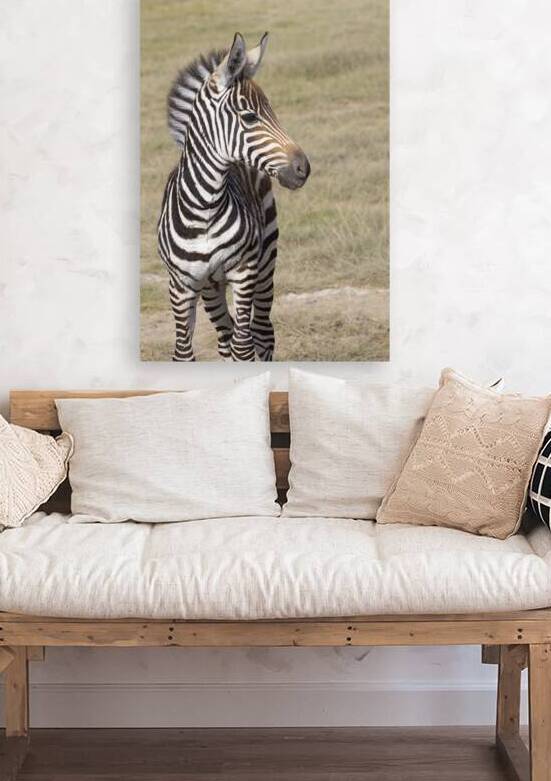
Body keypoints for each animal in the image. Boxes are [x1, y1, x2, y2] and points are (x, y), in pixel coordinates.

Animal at [157, 32, 310, 361]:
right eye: (250, 117)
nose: (304, 168)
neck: (203, 209)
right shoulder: (180, 285)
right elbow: (183, 353)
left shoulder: (244, 272)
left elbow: (244, 346)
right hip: (211, 288)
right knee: (225, 337)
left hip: (266, 262)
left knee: (260, 332)